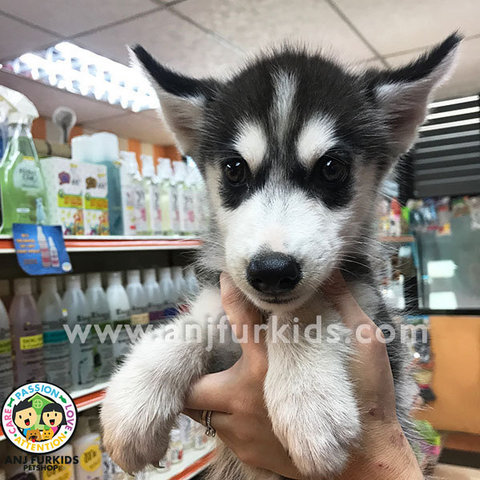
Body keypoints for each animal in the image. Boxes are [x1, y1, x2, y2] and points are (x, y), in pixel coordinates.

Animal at [101, 34, 462, 480]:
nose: (271, 271)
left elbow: (305, 310)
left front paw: (308, 396)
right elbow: (189, 327)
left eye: (331, 167)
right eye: (234, 169)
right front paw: (135, 398)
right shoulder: (221, 307)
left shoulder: (375, 317)